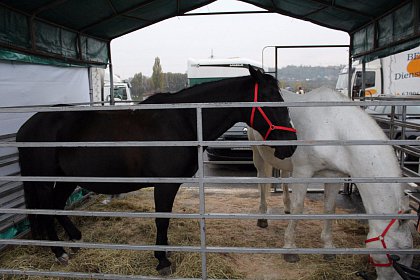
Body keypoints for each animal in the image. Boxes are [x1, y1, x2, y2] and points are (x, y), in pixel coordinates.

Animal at [18, 66, 296, 274]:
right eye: (272, 98)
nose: (290, 145)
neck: (183, 121)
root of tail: (27, 127)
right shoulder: (164, 185)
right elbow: (162, 220)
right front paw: (162, 260)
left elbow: (166, 219)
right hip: (44, 181)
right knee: (45, 210)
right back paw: (59, 252)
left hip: (66, 179)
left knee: (57, 206)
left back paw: (75, 239)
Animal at [248, 86, 416, 278]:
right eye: (398, 255)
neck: (334, 127)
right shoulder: (303, 171)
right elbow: (299, 208)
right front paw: (290, 249)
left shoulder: (334, 176)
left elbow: (329, 209)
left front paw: (328, 248)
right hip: (258, 154)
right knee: (262, 181)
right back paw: (262, 218)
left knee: (283, 177)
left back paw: (286, 208)